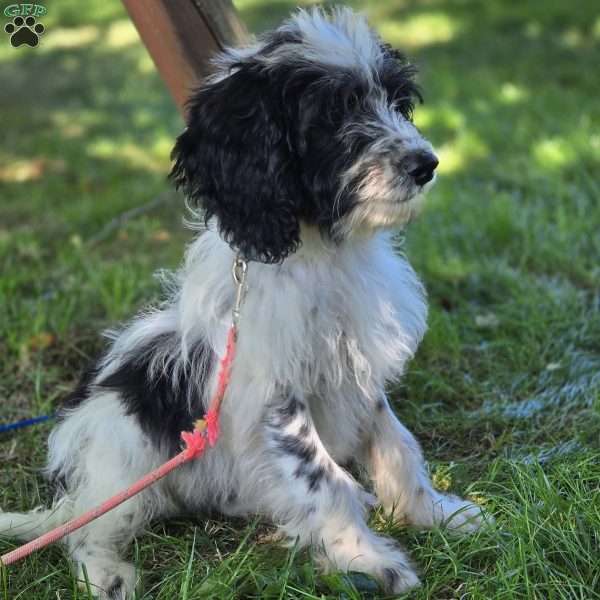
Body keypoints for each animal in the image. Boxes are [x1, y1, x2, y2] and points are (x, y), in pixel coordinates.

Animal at [1, 7, 488, 596]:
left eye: (398, 103)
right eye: (334, 115)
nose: (426, 164)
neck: (320, 253)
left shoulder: (357, 370)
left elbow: (398, 445)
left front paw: (433, 513)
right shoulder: (276, 394)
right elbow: (322, 477)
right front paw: (366, 560)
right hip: (125, 447)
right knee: (86, 527)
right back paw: (107, 573)